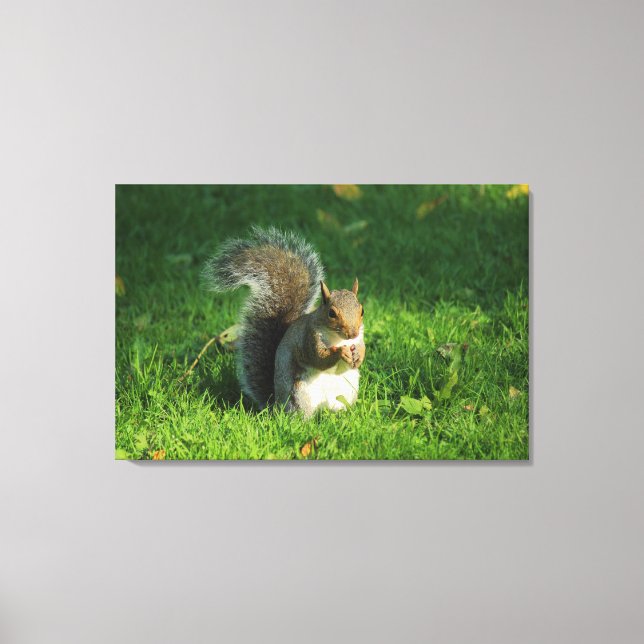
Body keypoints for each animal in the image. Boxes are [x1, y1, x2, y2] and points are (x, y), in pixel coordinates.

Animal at [203, 226, 365, 418]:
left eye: (362, 310)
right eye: (331, 313)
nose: (352, 333)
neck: (338, 338)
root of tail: (277, 406)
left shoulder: (360, 336)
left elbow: (361, 349)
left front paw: (358, 355)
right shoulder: (308, 338)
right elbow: (319, 358)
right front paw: (341, 352)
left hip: (346, 392)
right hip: (300, 394)